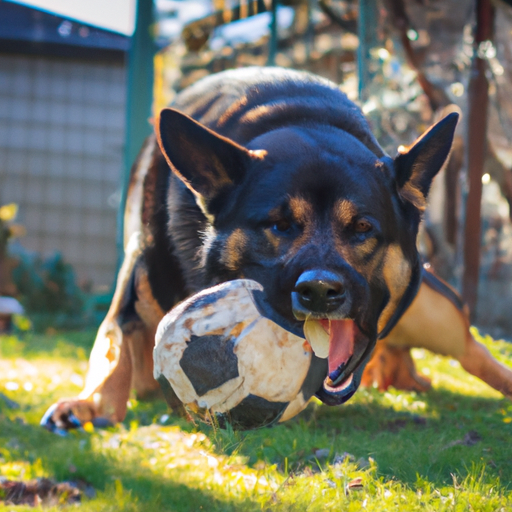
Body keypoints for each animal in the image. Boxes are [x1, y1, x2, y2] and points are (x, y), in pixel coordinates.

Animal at [40, 66, 508, 430]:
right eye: (280, 225)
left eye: (362, 228)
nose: (319, 291)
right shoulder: (135, 291)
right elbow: (113, 345)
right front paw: (89, 404)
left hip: (436, 312)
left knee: (472, 349)